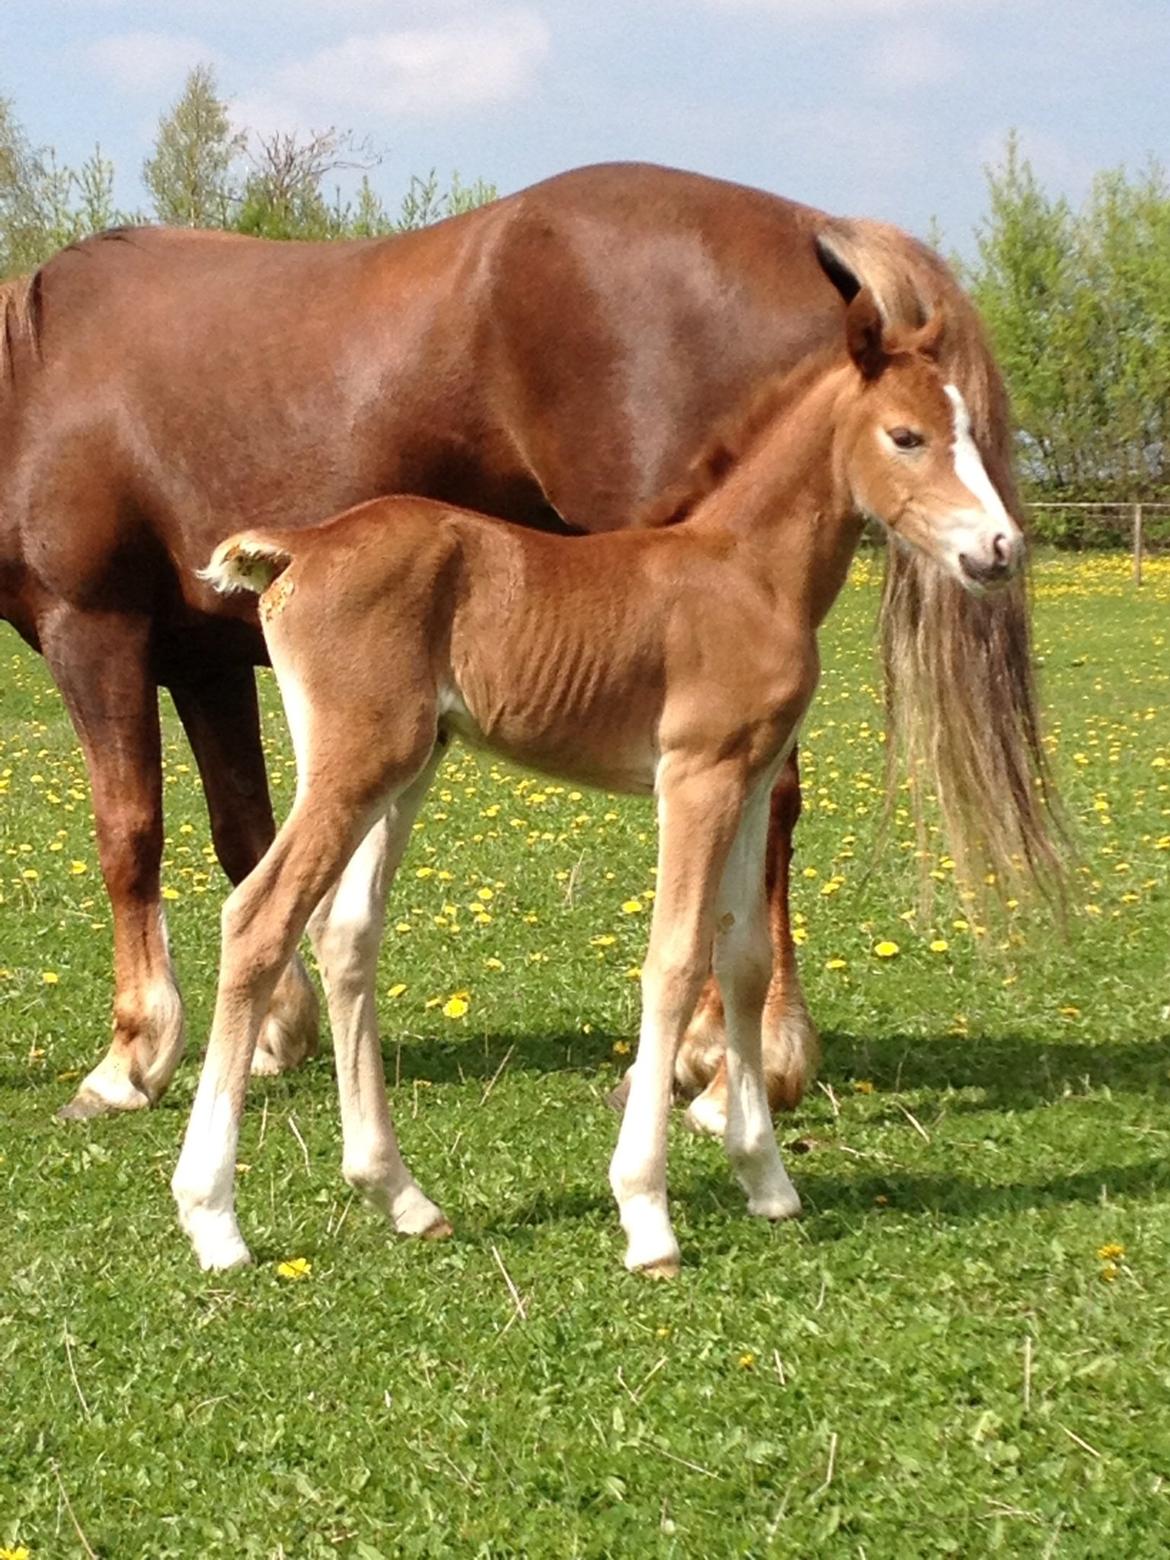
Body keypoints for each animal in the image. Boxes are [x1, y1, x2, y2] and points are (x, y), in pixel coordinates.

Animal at [0, 164, 1048, 1129]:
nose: (998, 544)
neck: (36, 379)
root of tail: (808, 225)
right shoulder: (204, 659)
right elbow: (244, 834)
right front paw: (274, 1031)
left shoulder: (94, 632)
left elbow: (129, 834)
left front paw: (131, 1055)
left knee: (766, 823)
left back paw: (727, 1064)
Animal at [173, 293, 1023, 1279]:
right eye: (906, 436)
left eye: (970, 429)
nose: (1000, 548)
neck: (746, 570)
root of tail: (300, 546)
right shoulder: (695, 776)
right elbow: (674, 959)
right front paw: (647, 1212)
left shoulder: (751, 778)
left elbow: (744, 960)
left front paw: (766, 1178)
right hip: (359, 764)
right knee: (260, 918)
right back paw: (213, 1217)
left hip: (400, 768)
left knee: (345, 933)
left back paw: (401, 1196)